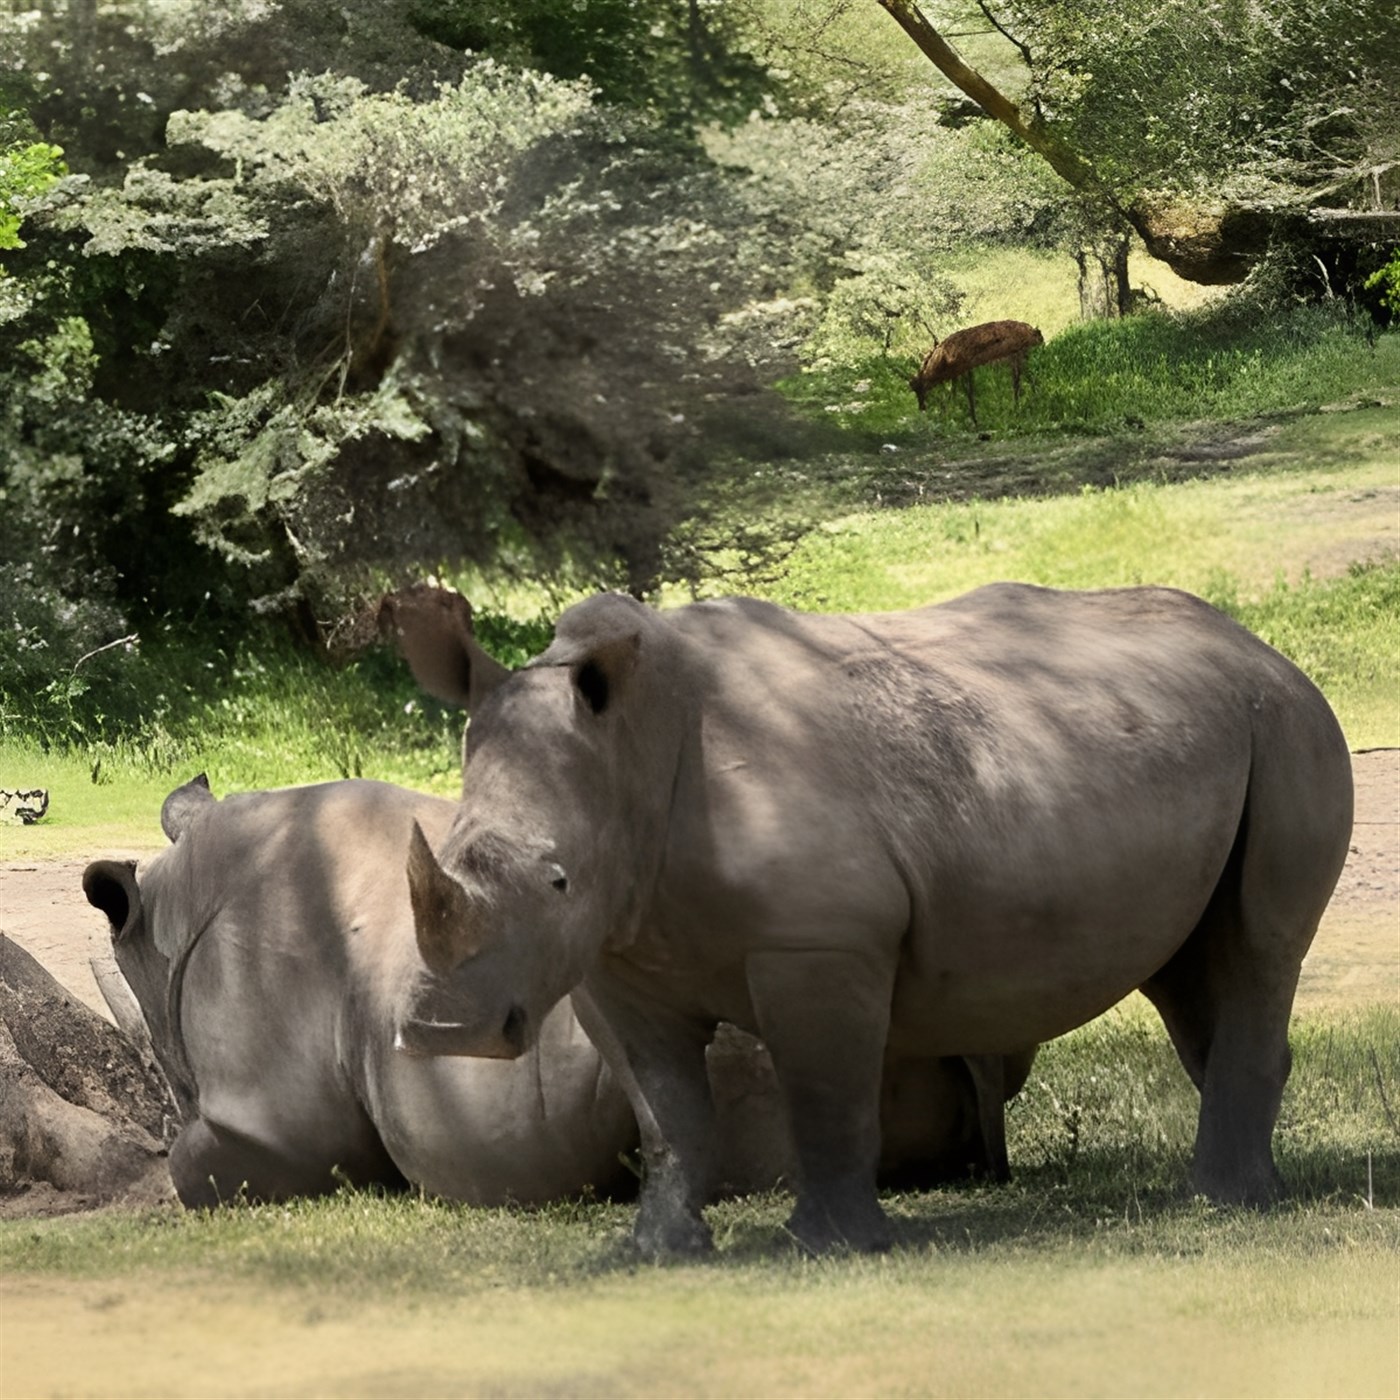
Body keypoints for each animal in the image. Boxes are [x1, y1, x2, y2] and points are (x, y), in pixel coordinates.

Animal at [382, 582, 1353, 1255]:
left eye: (557, 882)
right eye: (448, 850)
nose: (442, 1032)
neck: (632, 754)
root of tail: (1258, 645)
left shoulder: (821, 939)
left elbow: (825, 1091)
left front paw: (829, 1248)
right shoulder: (616, 957)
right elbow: (666, 1112)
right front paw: (658, 1251)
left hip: (1291, 726)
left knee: (1259, 947)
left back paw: (1226, 1201)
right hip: (1186, 735)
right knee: (1189, 968)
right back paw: (1237, 1185)